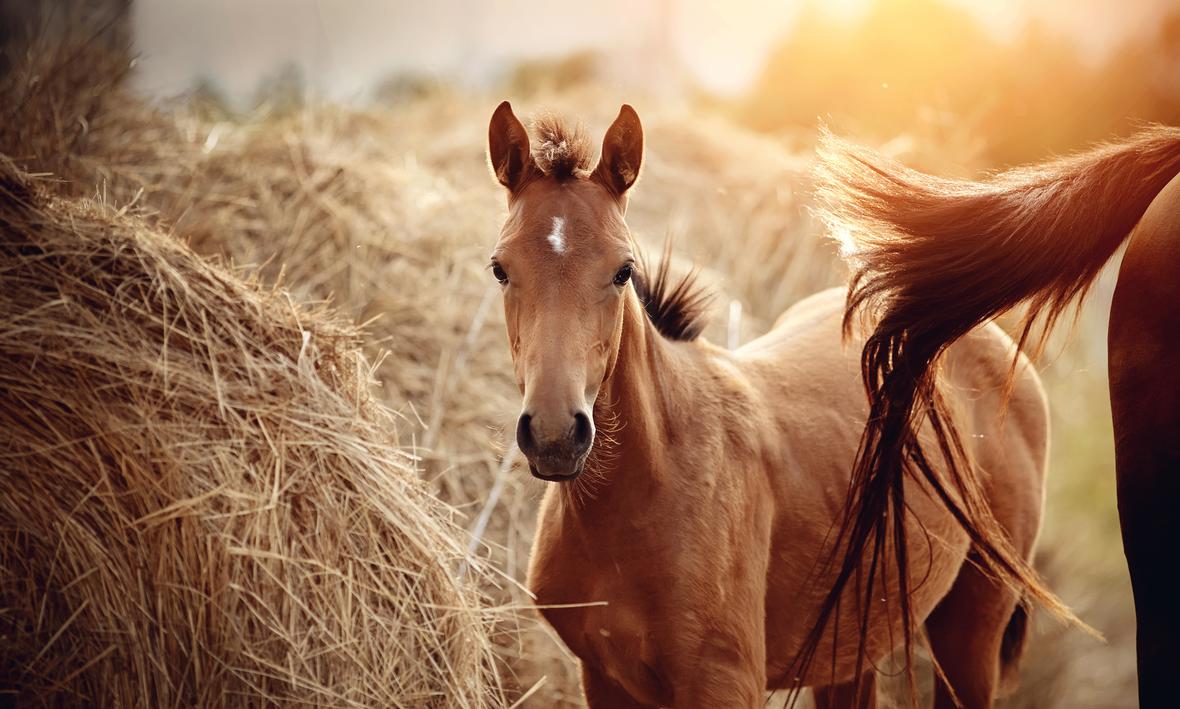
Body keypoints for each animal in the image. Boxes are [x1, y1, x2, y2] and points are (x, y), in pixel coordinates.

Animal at [488, 100, 1052, 707]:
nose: (554, 435)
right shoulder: (603, 678)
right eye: (500, 269)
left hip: (970, 630)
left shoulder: (724, 682)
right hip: (852, 642)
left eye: (623, 271)